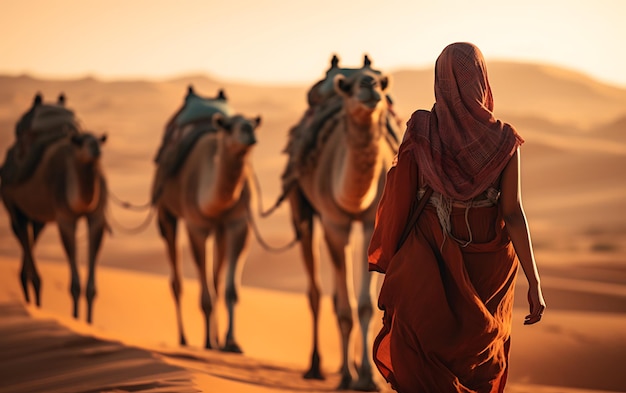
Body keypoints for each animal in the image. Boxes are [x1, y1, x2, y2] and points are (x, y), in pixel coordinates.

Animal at [0, 92, 108, 322]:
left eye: (98, 140)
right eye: (82, 142)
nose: (96, 149)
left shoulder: (97, 217)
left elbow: (91, 288)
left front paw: (89, 322)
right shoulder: (65, 218)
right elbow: (75, 285)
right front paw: (75, 319)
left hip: (38, 219)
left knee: (30, 240)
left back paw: (29, 300)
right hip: (12, 205)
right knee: (23, 235)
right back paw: (34, 304)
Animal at [154, 87, 260, 350]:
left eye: (253, 123)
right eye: (230, 126)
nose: (249, 132)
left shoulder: (238, 224)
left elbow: (230, 289)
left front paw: (231, 342)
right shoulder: (197, 227)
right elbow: (205, 293)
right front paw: (210, 343)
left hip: (220, 231)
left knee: (216, 280)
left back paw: (215, 338)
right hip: (165, 212)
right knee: (177, 281)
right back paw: (186, 339)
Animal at [282, 54, 398, 388]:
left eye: (382, 81)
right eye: (347, 86)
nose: (369, 85)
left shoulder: (372, 222)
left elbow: (365, 304)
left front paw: (368, 378)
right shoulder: (336, 224)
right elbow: (345, 308)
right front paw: (348, 377)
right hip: (302, 210)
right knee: (316, 292)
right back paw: (316, 367)